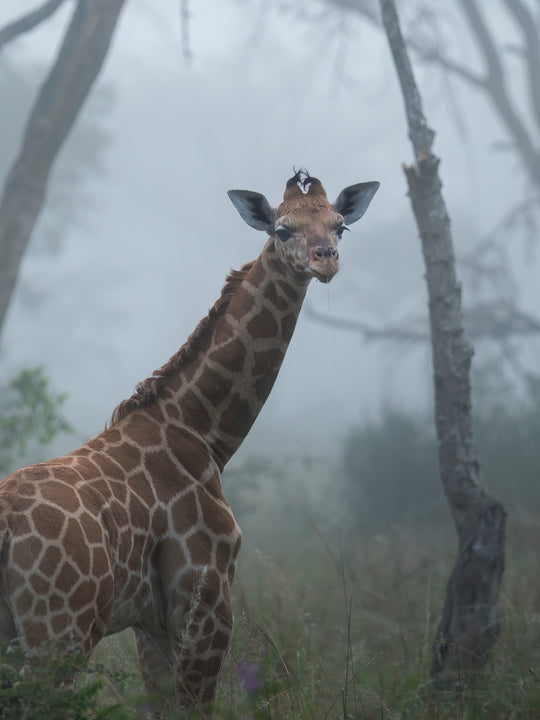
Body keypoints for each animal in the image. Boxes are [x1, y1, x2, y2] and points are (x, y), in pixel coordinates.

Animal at [0, 170, 380, 716]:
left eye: (339, 225)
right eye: (282, 229)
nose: (325, 259)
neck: (203, 430)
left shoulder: (149, 623)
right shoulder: (207, 602)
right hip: (57, 636)